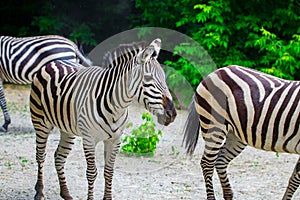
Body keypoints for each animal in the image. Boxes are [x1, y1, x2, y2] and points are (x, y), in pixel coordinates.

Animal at [29, 38, 177, 199]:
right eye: (148, 78)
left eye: (164, 78)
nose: (172, 114)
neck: (116, 108)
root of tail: (55, 61)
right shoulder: (89, 140)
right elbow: (91, 173)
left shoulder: (115, 140)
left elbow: (109, 172)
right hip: (40, 121)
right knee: (40, 155)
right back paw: (39, 191)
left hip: (67, 129)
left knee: (59, 156)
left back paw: (66, 193)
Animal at [182, 65, 300, 199]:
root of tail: (213, 73)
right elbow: (295, 180)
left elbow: (293, 180)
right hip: (214, 126)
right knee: (207, 163)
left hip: (236, 135)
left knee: (220, 161)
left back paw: (228, 195)